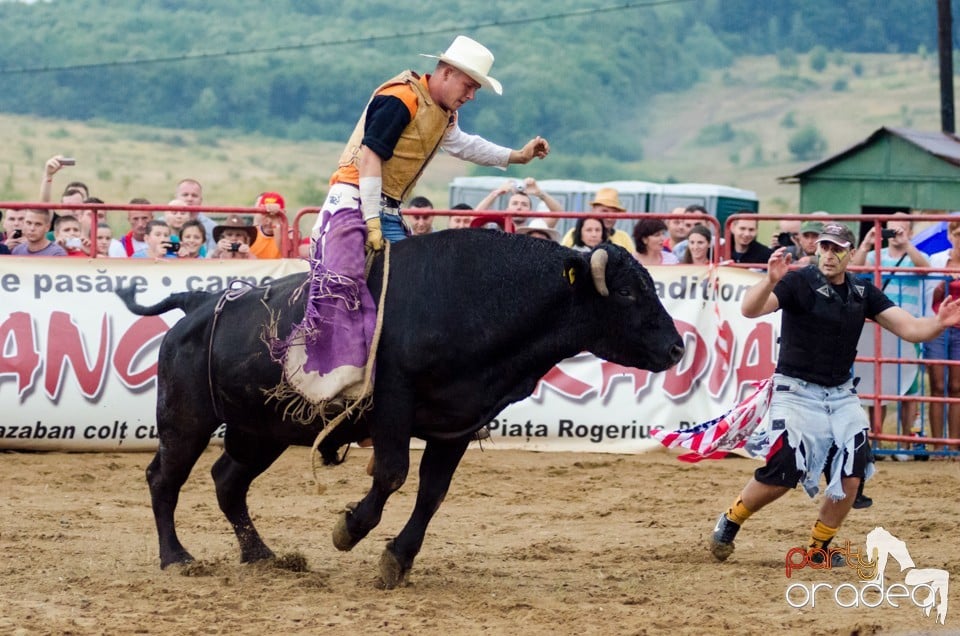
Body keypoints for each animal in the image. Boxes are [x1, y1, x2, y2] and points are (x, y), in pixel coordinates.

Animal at [116, 229, 684, 588]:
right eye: (628, 292)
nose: (677, 347)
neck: (479, 298)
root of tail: (198, 305)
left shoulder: (457, 425)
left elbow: (431, 494)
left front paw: (396, 560)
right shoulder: (394, 402)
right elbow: (391, 473)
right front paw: (348, 530)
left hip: (260, 433)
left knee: (228, 482)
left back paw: (262, 556)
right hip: (186, 421)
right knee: (164, 480)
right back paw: (177, 558)